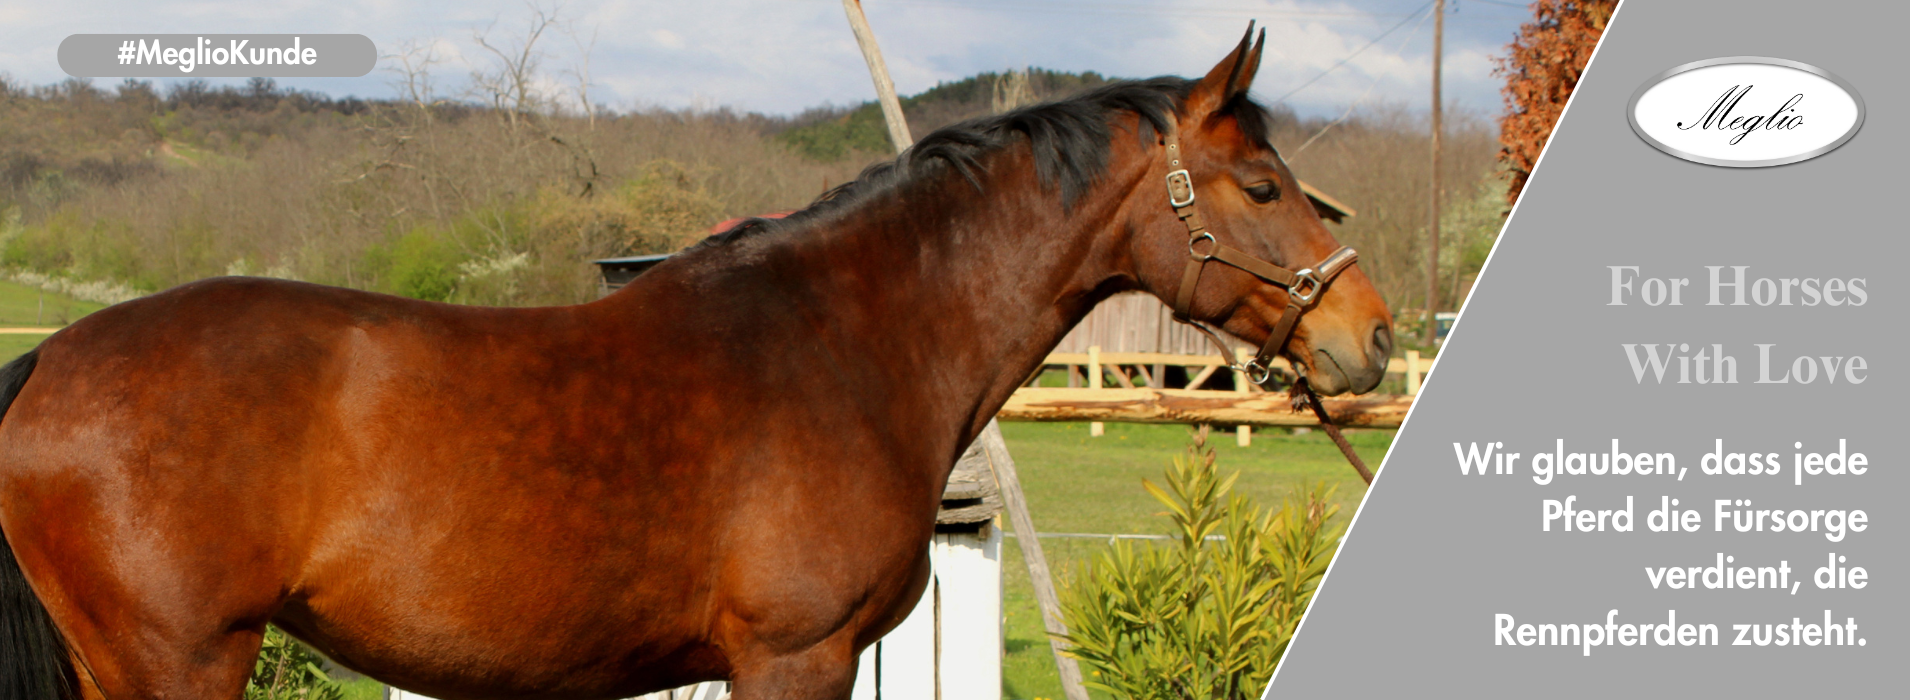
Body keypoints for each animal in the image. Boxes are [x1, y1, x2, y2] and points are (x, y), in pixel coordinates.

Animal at [0, 28, 1392, 700]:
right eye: (1261, 185)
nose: (1369, 334)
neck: (852, 341)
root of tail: (51, 364)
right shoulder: (795, 656)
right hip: (180, 661)